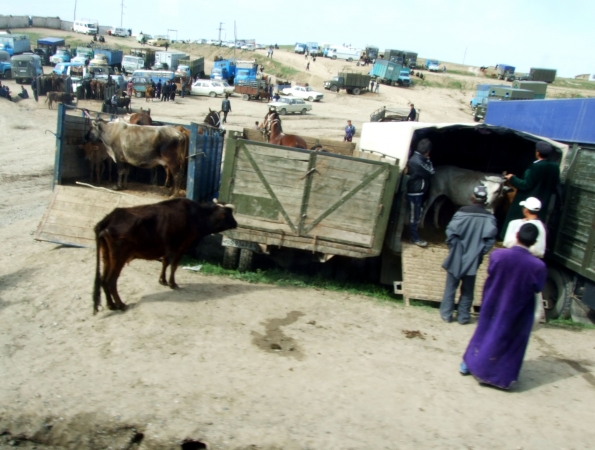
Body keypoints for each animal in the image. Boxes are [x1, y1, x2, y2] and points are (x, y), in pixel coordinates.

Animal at [93, 199, 237, 314]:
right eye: (228, 214)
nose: (236, 223)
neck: (195, 216)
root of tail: (110, 218)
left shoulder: (168, 249)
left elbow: (165, 263)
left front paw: (162, 280)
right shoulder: (181, 248)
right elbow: (173, 266)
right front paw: (172, 283)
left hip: (106, 256)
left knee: (103, 280)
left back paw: (111, 305)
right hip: (119, 257)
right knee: (111, 281)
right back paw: (120, 304)